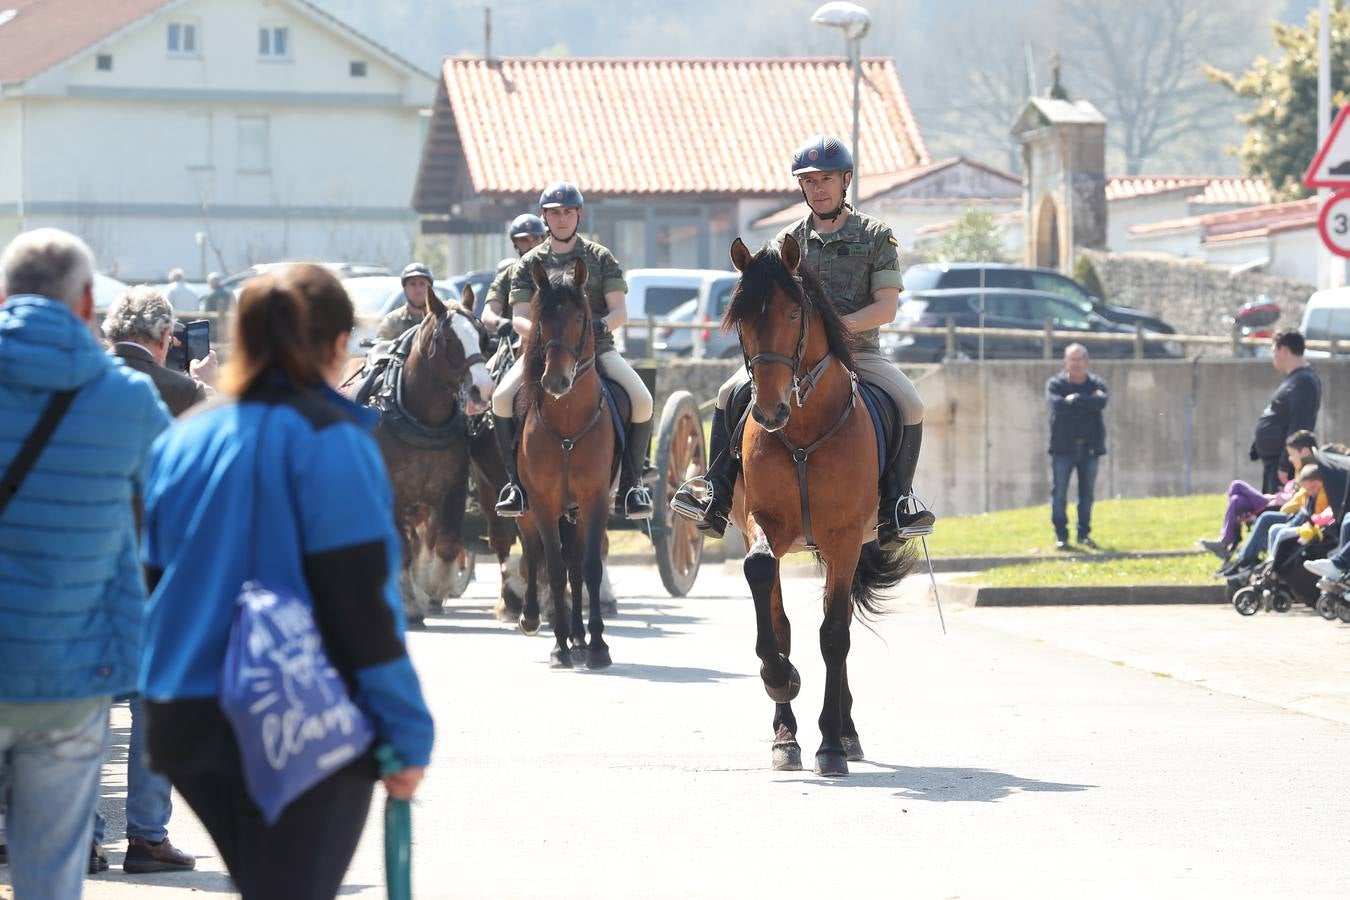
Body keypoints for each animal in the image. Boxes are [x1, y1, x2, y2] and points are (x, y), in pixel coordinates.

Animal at [364, 288, 496, 626]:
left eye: (482, 335)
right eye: (449, 339)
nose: (483, 389)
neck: (424, 421)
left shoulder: (453, 489)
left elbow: (447, 543)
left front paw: (434, 589)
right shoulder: (392, 493)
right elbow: (402, 549)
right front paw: (411, 604)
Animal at [515, 259, 618, 669]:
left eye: (579, 317)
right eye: (541, 319)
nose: (556, 381)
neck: (568, 428)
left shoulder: (595, 500)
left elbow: (589, 568)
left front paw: (598, 645)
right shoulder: (542, 503)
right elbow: (555, 568)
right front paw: (558, 645)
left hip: (575, 512)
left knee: (576, 566)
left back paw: (580, 637)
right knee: (534, 551)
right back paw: (534, 619)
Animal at [723, 236, 912, 777]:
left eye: (793, 313)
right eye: (742, 318)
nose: (769, 411)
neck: (804, 432)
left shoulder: (845, 538)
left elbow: (834, 636)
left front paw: (830, 743)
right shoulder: (763, 523)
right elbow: (765, 586)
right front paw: (780, 679)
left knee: (839, 624)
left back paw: (845, 734)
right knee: (784, 617)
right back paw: (786, 733)